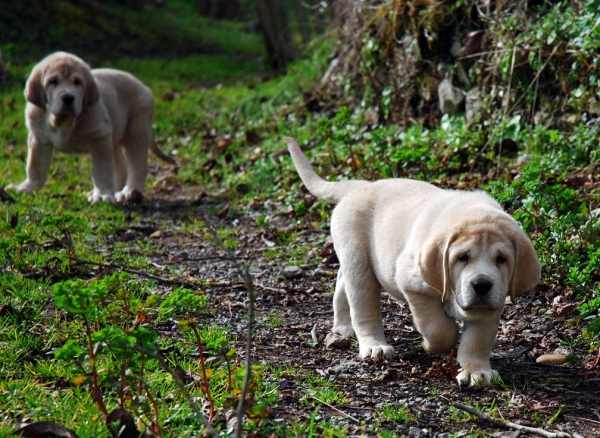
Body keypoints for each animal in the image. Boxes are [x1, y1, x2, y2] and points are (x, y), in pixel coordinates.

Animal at [9, 51, 175, 204]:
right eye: (53, 81)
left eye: (77, 82)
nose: (68, 98)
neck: (62, 121)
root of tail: (145, 87)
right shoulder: (39, 139)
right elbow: (35, 166)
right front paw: (28, 187)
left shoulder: (99, 138)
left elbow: (102, 170)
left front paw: (102, 194)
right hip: (114, 137)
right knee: (121, 166)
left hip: (136, 131)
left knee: (138, 165)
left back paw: (129, 192)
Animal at [284, 138, 540, 386]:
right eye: (462, 258)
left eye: (501, 260)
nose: (482, 285)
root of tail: (361, 186)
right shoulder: (413, 285)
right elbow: (439, 330)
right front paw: (430, 344)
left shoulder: (489, 306)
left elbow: (477, 340)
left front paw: (477, 371)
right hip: (359, 262)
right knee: (363, 306)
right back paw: (374, 346)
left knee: (341, 280)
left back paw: (342, 327)